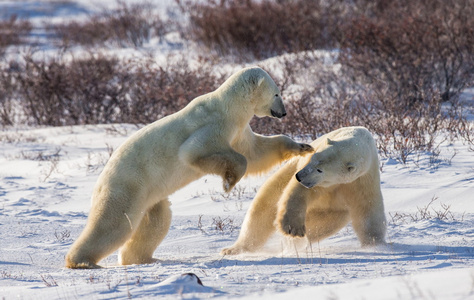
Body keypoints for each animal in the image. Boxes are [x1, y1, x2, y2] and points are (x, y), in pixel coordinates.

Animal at [65, 67, 312, 268]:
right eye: (277, 93)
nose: (283, 112)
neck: (229, 107)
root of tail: (102, 177)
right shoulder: (212, 126)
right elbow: (194, 151)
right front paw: (228, 183)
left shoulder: (239, 131)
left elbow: (256, 152)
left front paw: (303, 146)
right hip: (128, 185)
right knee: (113, 224)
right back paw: (81, 261)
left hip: (150, 197)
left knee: (156, 222)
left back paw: (144, 258)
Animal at [221, 126, 386, 255]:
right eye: (314, 157)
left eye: (320, 169)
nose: (299, 176)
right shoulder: (312, 176)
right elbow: (299, 192)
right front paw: (292, 228)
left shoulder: (361, 179)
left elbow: (367, 210)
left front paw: (375, 244)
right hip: (288, 170)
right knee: (264, 206)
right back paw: (234, 249)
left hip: (335, 212)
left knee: (323, 224)